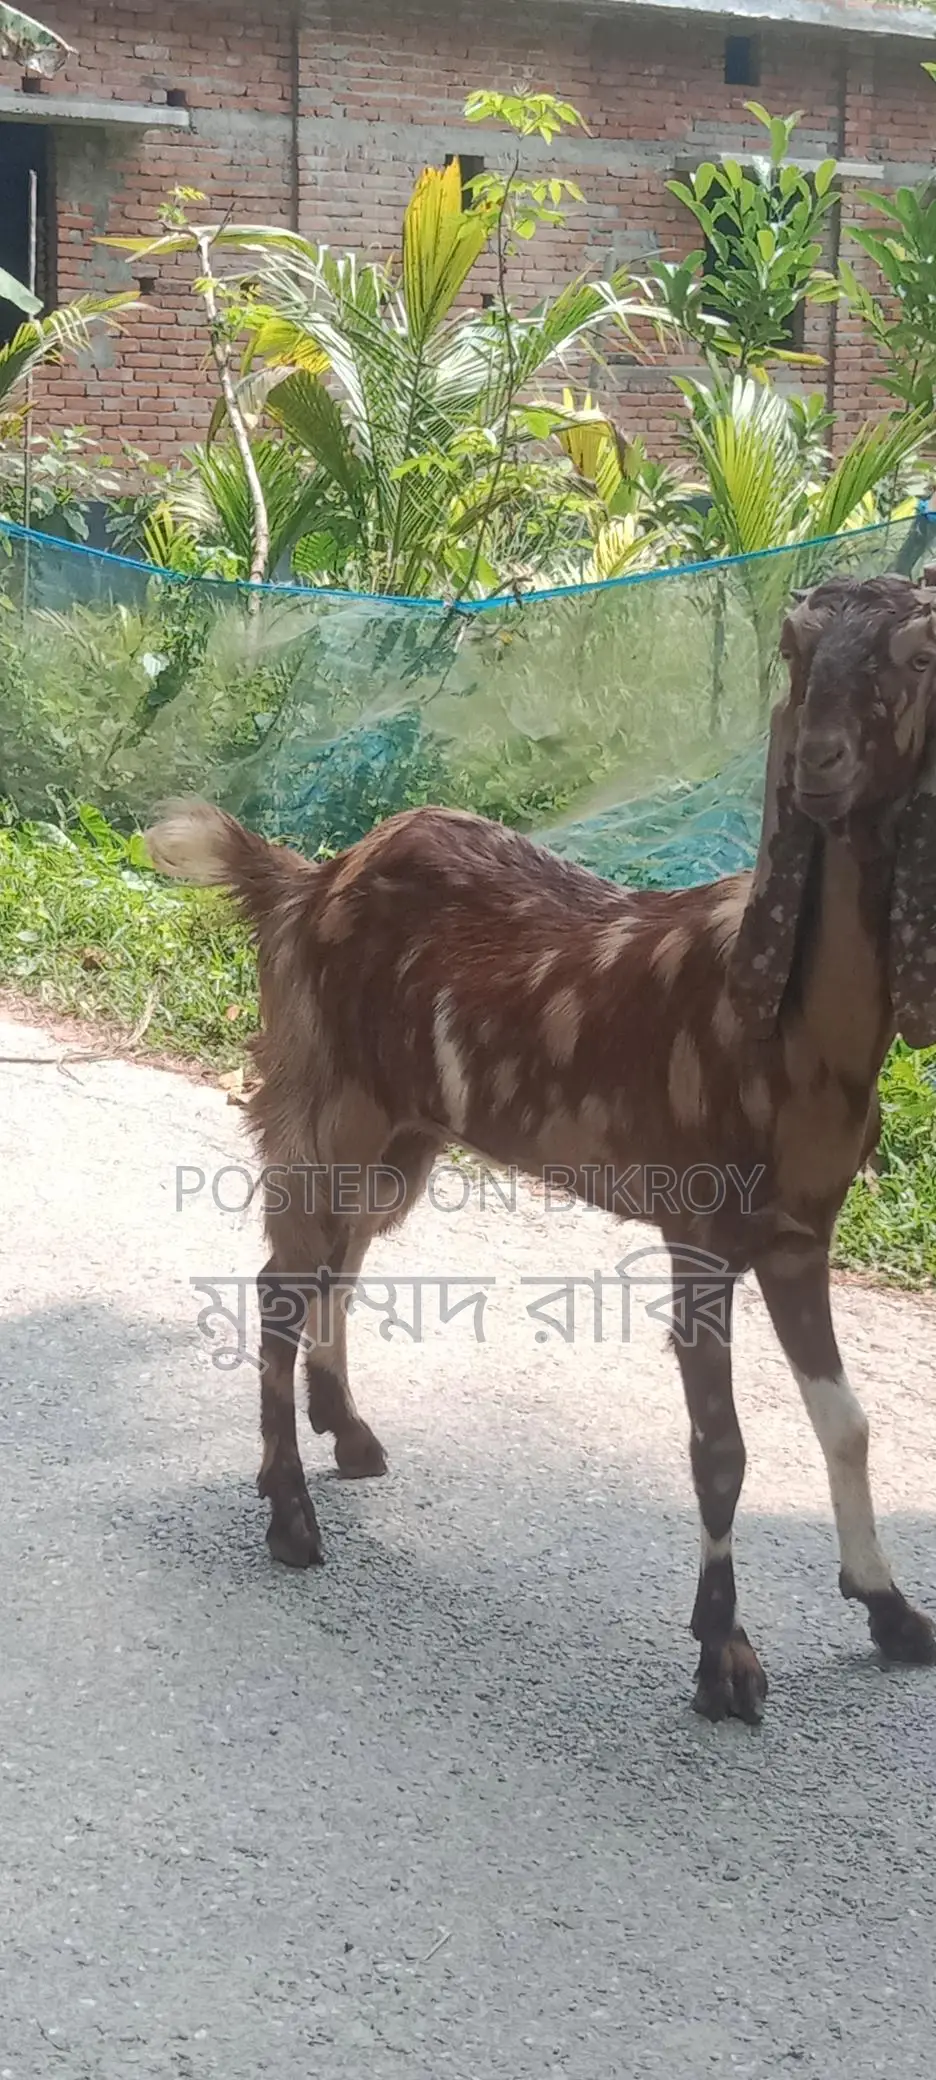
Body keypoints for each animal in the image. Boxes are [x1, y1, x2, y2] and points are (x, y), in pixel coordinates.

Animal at [146, 571, 936, 1723]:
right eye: (794, 648)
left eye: (919, 655)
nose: (819, 766)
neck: (794, 1033)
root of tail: (310, 880)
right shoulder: (699, 1232)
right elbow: (720, 1448)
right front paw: (724, 1655)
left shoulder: (799, 1235)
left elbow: (848, 1423)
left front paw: (890, 1610)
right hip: (327, 1102)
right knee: (283, 1284)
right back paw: (290, 1513)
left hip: (404, 1133)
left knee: (340, 1261)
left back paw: (346, 1432)